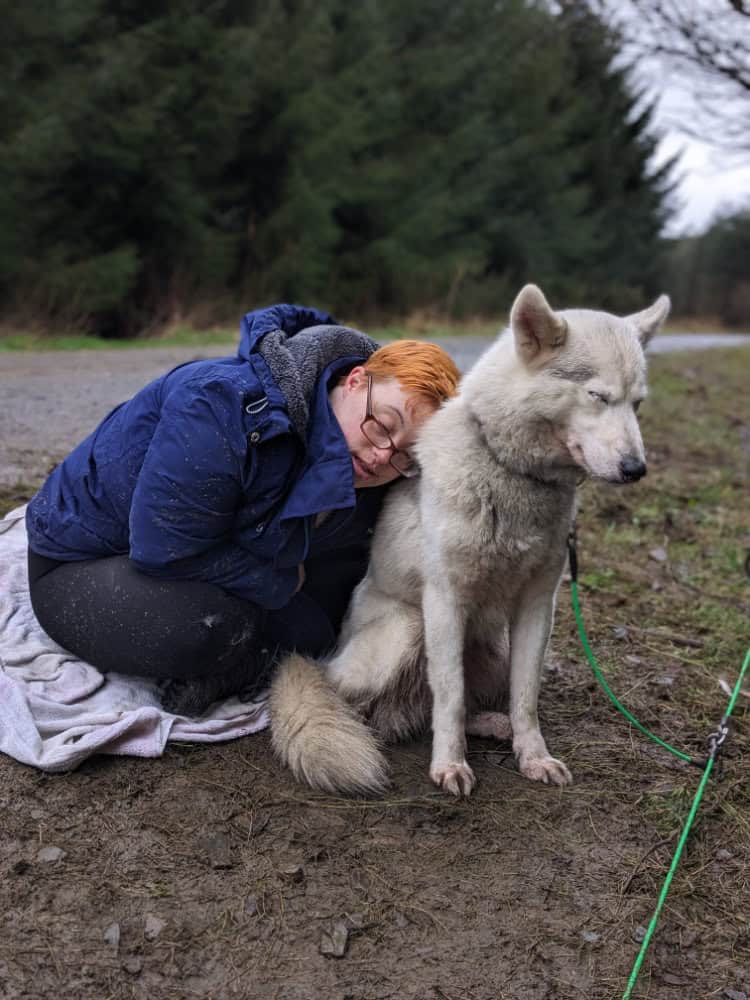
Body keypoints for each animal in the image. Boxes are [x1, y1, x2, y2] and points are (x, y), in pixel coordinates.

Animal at [269, 284, 670, 797]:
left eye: (637, 404)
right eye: (598, 396)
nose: (636, 469)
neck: (510, 471)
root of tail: (325, 660)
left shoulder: (538, 606)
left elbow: (525, 698)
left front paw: (533, 756)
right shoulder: (445, 601)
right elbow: (451, 697)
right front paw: (450, 765)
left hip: (492, 649)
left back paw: (493, 726)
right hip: (408, 628)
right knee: (367, 709)